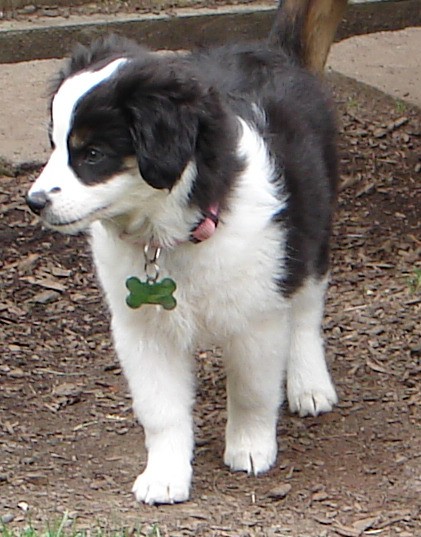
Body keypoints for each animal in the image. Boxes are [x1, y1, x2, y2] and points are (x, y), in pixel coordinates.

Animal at [26, 0, 342, 502]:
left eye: (92, 153)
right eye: (55, 146)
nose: (34, 202)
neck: (169, 236)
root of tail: (273, 51)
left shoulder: (257, 316)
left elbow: (252, 391)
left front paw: (249, 449)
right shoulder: (141, 330)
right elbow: (161, 410)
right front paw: (165, 474)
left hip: (311, 223)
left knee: (308, 306)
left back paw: (309, 383)